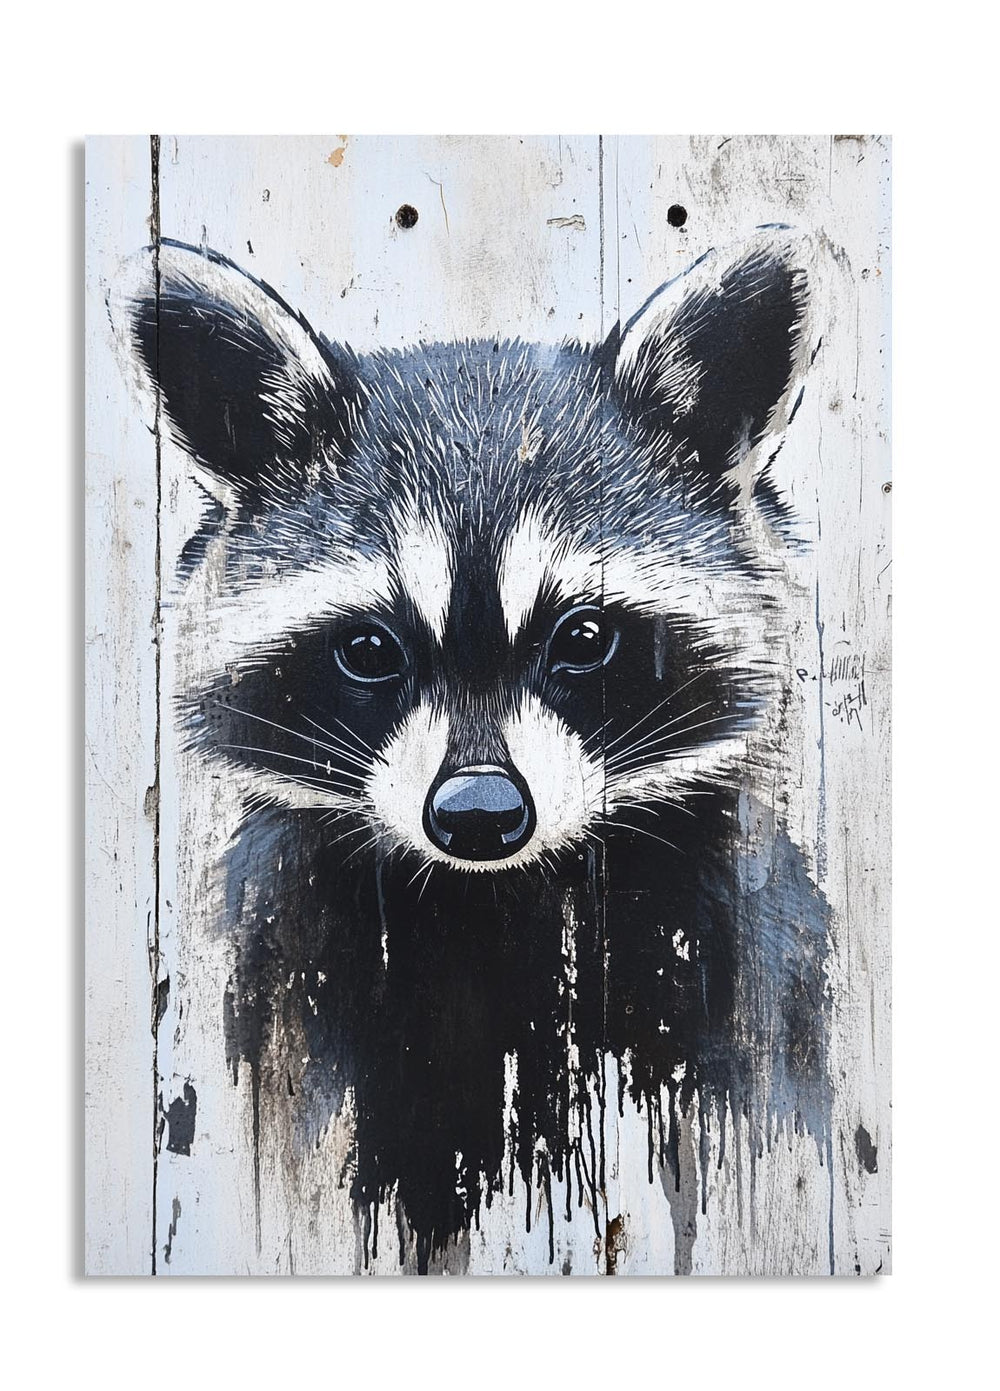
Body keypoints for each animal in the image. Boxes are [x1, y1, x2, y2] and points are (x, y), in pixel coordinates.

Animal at [116, 232, 830, 1271]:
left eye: (583, 637)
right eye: (369, 648)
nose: (480, 815)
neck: (492, 904)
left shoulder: (729, 956)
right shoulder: (289, 966)